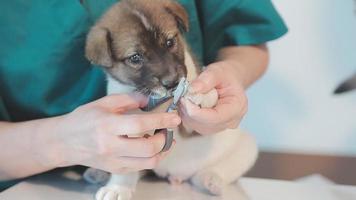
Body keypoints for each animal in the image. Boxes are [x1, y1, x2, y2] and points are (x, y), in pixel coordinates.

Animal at [86, 0, 258, 199]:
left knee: (213, 172)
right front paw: (118, 188)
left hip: (246, 146)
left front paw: (201, 93)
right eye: (135, 57)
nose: (172, 83)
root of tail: (174, 176)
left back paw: (210, 180)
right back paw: (98, 172)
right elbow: (126, 167)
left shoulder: (190, 128)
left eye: (170, 42)